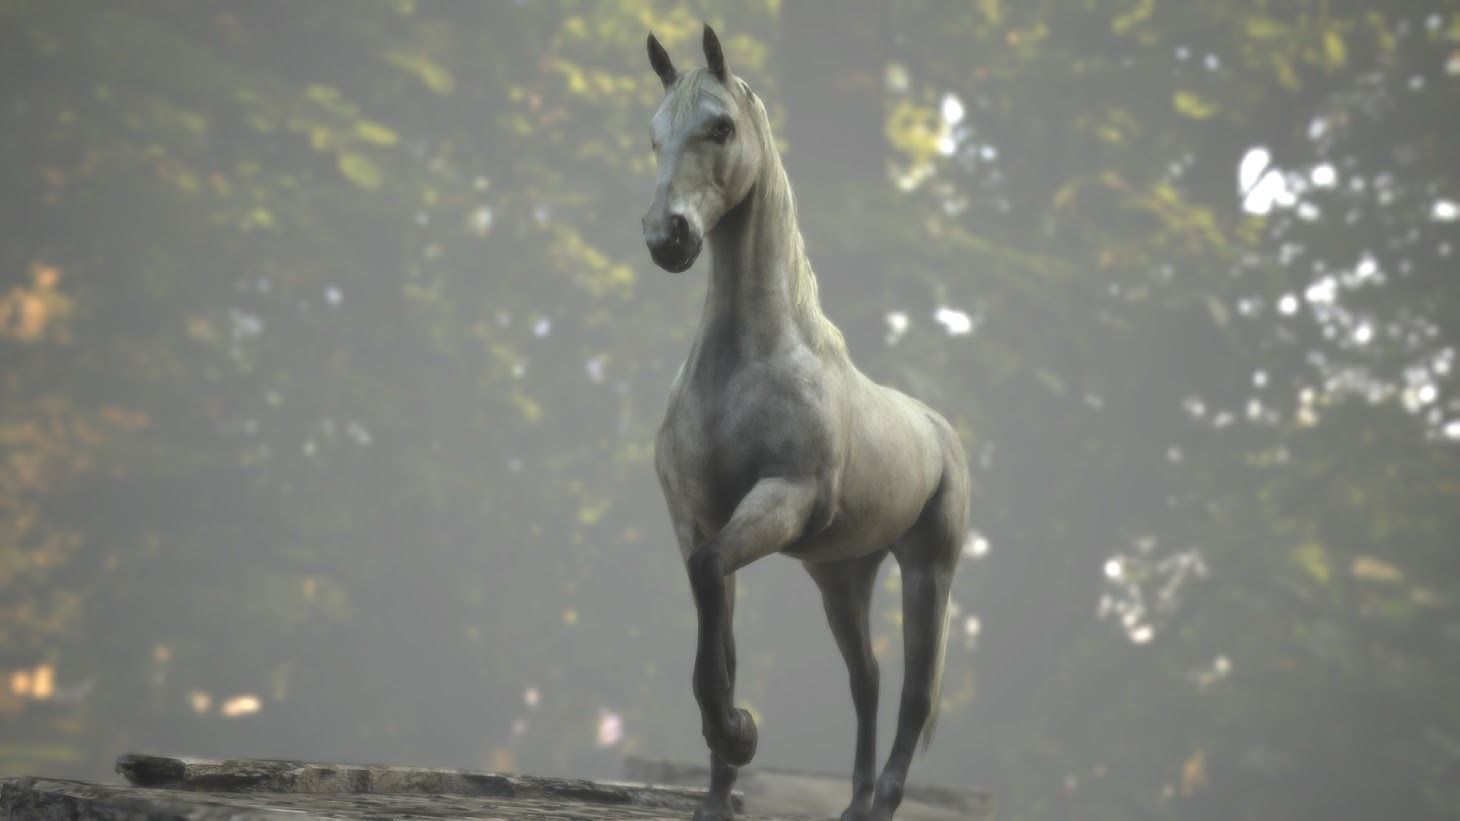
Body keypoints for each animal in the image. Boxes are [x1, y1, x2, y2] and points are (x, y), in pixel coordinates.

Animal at [640, 25, 970, 821]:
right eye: (652, 136)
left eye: (720, 127)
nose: (668, 238)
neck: (745, 362)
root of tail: (939, 430)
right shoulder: (696, 520)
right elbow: (717, 642)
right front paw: (718, 791)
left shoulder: (782, 497)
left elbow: (711, 593)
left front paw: (739, 733)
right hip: (840, 575)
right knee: (868, 679)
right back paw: (852, 803)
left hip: (927, 570)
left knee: (914, 691)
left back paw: (880, 804)